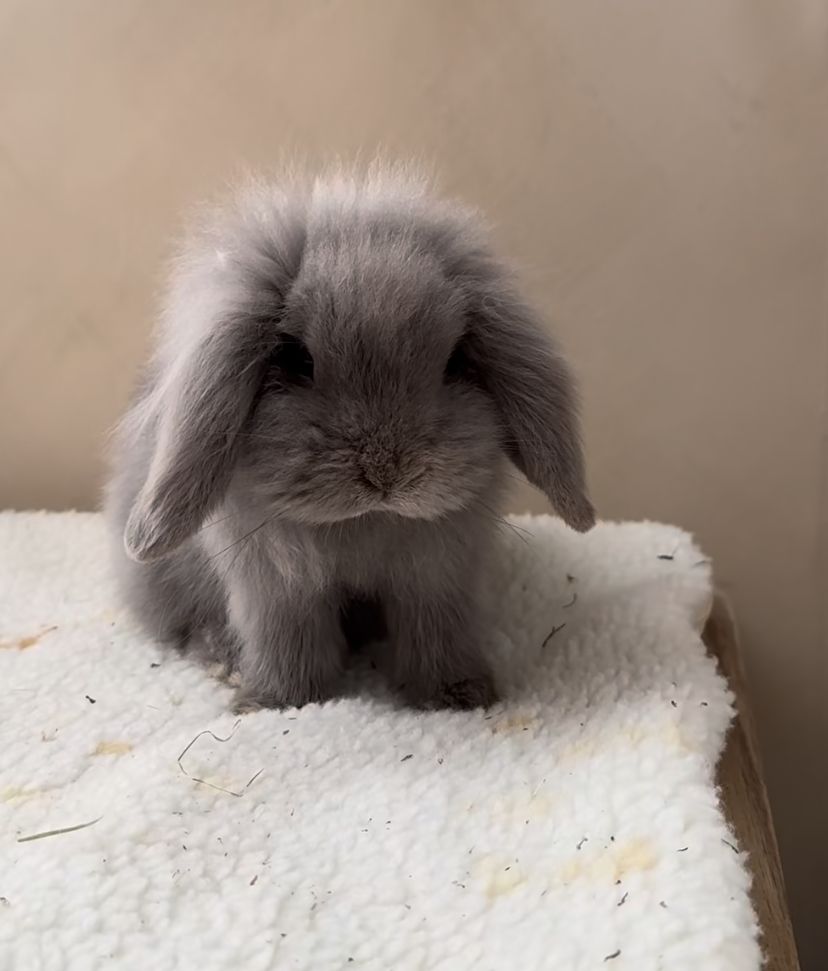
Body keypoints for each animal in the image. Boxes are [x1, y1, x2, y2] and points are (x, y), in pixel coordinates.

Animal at [104, 166, 595, 712]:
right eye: (295, 359)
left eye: (454, 361)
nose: (387, 472)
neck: (364, 524)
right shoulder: (277, 587)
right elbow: (287, 641)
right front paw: (275, 702)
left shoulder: (437, 580)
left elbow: (438, 636)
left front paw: (460, 696)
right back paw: (224, 660)